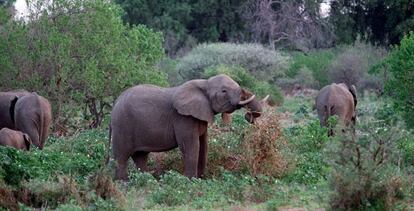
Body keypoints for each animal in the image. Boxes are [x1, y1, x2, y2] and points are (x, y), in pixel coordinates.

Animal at [110, 74, 266, 180]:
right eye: (224, 91)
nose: (249, 115)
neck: (205, 83)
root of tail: (115, 103)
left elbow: (203, 146)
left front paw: (201, 180)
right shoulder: (183, 118)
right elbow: (191, 146)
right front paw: (191, 182)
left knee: (140, 156)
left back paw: (145, 181)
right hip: (122, 125)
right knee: (121, 157)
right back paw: (123, 184)